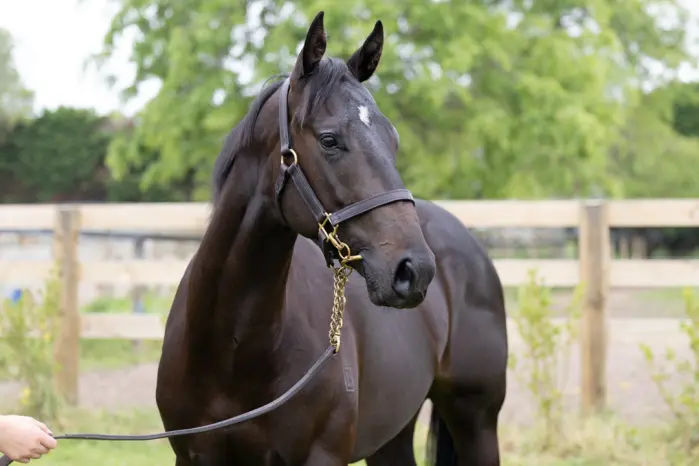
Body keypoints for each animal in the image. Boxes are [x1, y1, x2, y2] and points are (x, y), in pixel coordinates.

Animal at [155, 11, 508, 466]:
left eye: (393, 141)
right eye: (329, 139)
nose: (415, 270)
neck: (231, 349)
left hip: (476, 422)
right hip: (393, 434)